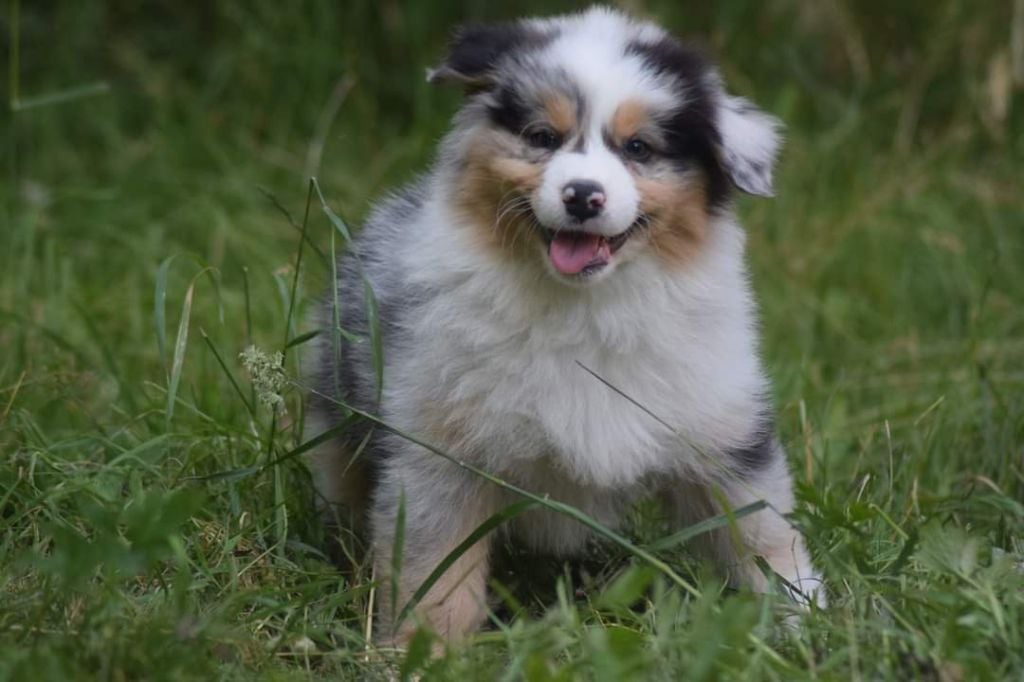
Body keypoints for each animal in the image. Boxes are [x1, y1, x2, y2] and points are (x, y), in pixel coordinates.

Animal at [305, 7, 824, 645]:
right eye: (542, 138)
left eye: (638, 148)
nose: (582, 195)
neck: (587, 307)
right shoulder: (439, 450)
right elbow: (435, 569)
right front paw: (422, 650)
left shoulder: (723, 435)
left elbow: (760, 535)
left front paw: (808, 624)